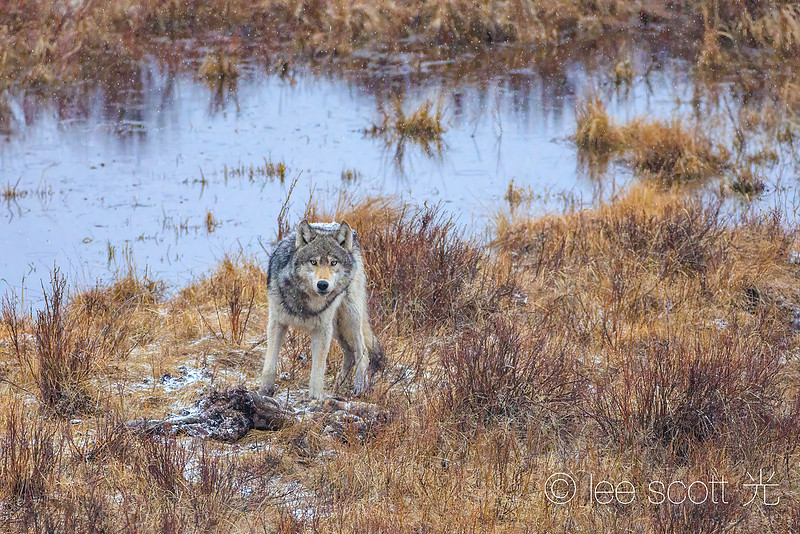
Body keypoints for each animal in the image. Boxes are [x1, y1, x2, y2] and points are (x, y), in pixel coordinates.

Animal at [258, 220, 384, 400]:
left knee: (363, 351)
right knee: (349, 353)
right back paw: (339, 385)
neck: (305, 302)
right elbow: (269, 364)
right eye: (313, 262)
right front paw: (264, 392)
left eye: (333, 262)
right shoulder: (277, 322)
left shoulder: (322, 329)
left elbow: (318, 370)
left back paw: (359, 386)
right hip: (337, 327)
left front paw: (316, 398)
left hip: (349, 317)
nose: (323, 284)